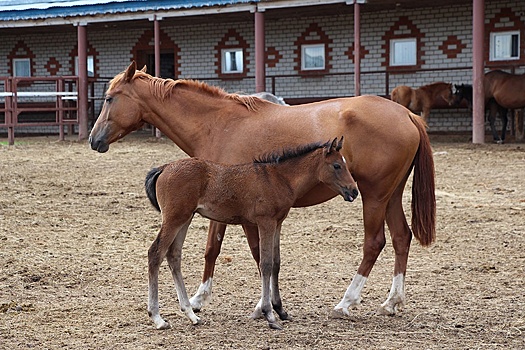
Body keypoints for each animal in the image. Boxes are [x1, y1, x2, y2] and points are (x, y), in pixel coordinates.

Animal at [144, 138, 356, 330]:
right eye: (337, 165)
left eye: (345, 163)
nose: (353, 191)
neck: (280, 178)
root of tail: (164, 167)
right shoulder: (265, 222)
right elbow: (266, 264)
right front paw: (270, 315)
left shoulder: (277, 223)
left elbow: (276, 263)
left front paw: (281, 310)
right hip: (174, 218)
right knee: (155, 253)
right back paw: (158, 318)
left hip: (185, 219)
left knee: (174, 255)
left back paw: (191, 314)